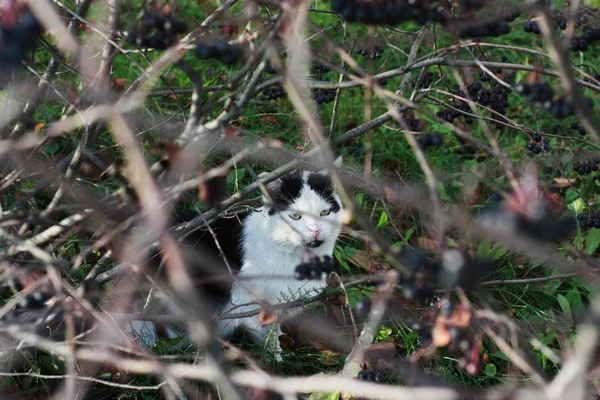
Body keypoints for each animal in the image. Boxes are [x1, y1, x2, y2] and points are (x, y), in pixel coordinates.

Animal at [132, 157, 344, 360]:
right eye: (295, 216)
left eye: (325, 212)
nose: (315, 231)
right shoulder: (253, 308)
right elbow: (268, 342)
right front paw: (277, 364)